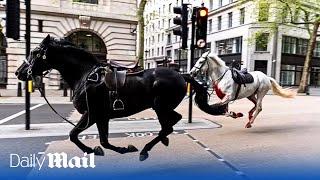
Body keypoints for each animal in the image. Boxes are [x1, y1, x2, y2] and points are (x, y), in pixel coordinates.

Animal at [15, 34, 228, 160]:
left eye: (35, 52)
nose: (19, 72)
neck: (85, 75)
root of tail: (182, 75)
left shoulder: (92, 114)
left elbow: (76, 135)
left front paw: (97, 150)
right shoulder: (101, 116)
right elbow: (99, 140)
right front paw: (102, 149)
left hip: (160, 106)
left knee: (168, 125)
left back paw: (146, 150)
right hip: (162, 107)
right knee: (173, 121)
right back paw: (162, 141)